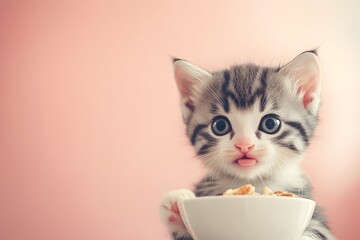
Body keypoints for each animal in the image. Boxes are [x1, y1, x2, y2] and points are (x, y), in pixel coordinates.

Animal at [160, 51, 334, 240]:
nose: (244, 145)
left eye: (270, 124)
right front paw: (176, 205)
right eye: (220, 126)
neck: (253, 182)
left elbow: (318, 232)